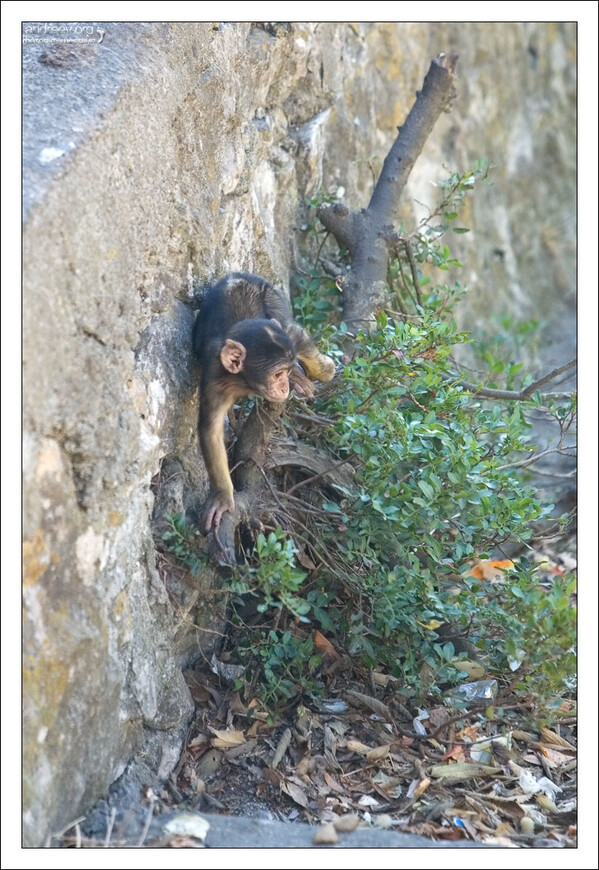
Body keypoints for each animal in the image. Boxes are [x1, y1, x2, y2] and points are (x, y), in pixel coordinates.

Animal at [193, 272, 338, 532]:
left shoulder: (286, 339)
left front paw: (323, 369)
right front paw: (222, 496)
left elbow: (295, 334)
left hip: (270, 293)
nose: (284, 385)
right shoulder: (215, 380)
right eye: (277, 374)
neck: (244, 380)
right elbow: (210, 430)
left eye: (284, 372)